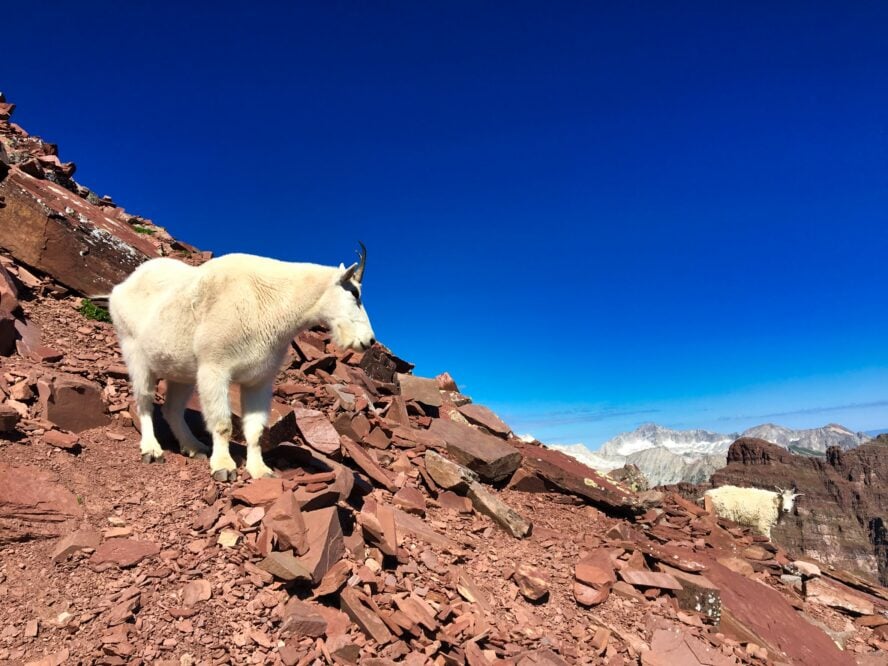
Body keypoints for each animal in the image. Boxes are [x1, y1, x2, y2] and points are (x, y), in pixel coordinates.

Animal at [110, 244, 374, 478]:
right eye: (355, 293)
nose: (369, 340)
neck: (273, 302)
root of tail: (121, 287)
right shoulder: (214, 369)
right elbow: (223, 423)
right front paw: (223, 467)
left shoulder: (259, 381)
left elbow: (255, 430)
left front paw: (260, 470)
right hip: (134, 351)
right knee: (144, 402)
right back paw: (152, 449)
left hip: (181, 372)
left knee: (172, 408)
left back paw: (194, 447)